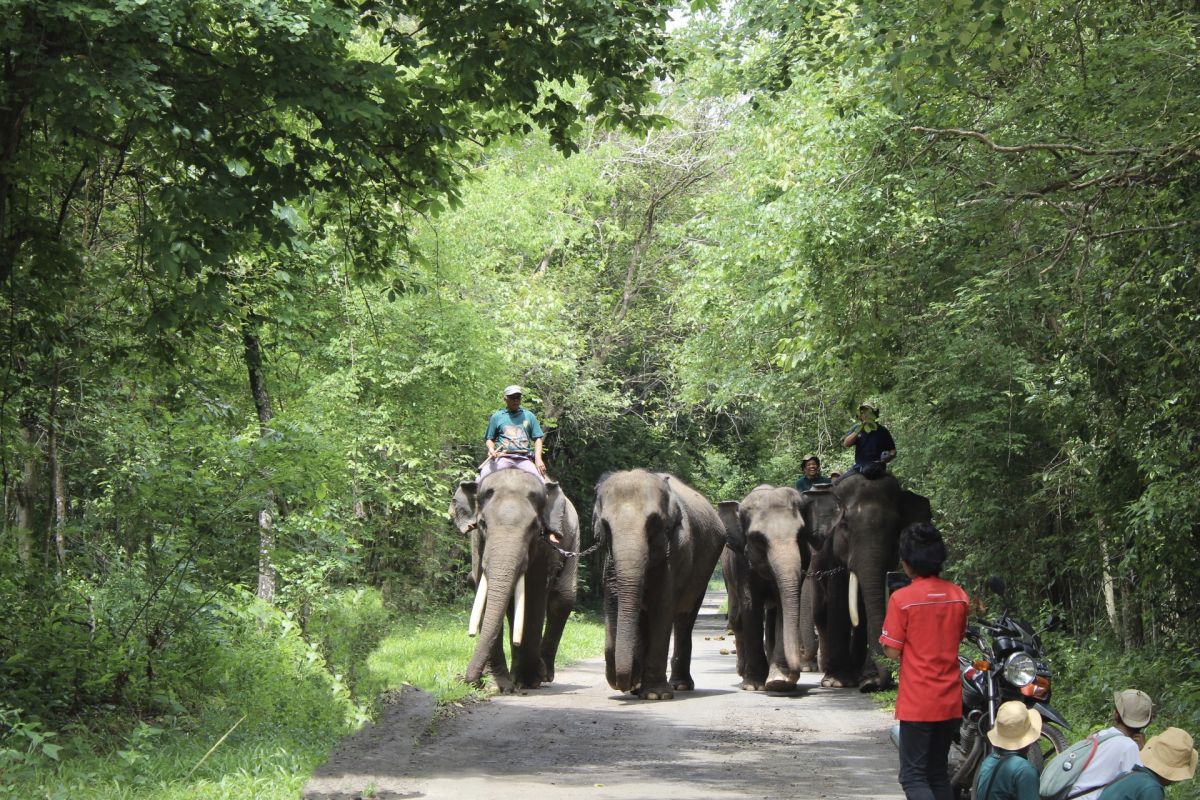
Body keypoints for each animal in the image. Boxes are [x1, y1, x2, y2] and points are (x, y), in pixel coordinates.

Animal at [451, 472, 580, 690]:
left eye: (535, 527)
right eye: (483, 523)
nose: (467, 680)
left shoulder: (544, 546)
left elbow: (534, 593)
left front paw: (526, 681)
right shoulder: (477, 543)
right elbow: (482, 589)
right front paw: (497, 686)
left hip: (574, 538)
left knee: (563, 598)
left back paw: (542, 674)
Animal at [590, 470, 720, 700]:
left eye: (653, 523)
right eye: (605, 526)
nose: (622, 683)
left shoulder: (677, 550)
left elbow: (662, 606)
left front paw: (655, 695)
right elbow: (616, 599)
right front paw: (637, 687)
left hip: (703, 573)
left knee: (685, 617)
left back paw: (680, 686)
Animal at [720, 484, 844, 690]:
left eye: (801, 534)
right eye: (758, 539)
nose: (797, 670)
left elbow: (782, 605)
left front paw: (780, 681)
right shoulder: (742, 563)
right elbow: (750, 604)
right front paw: (754, 685)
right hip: (726, 573)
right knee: (736, 618)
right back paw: (742, 672)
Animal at [811, 472, 931, 690]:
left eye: (896, 526)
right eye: (845, 525)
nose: (875, 685)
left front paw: (868, 678)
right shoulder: (831, 551)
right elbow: (839, 597)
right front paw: (838, 682)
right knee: (821, 612)